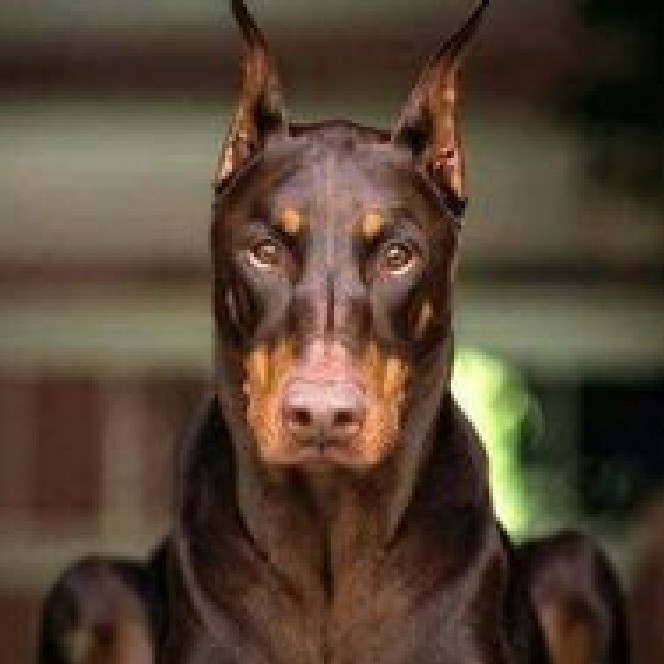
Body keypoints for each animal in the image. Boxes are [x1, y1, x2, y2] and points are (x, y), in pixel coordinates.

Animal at [38, 1, 628, 662]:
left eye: (398, 256)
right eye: (265, 252)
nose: (322, 416)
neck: (330, 521)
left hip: (578, 566)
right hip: (92, 588)